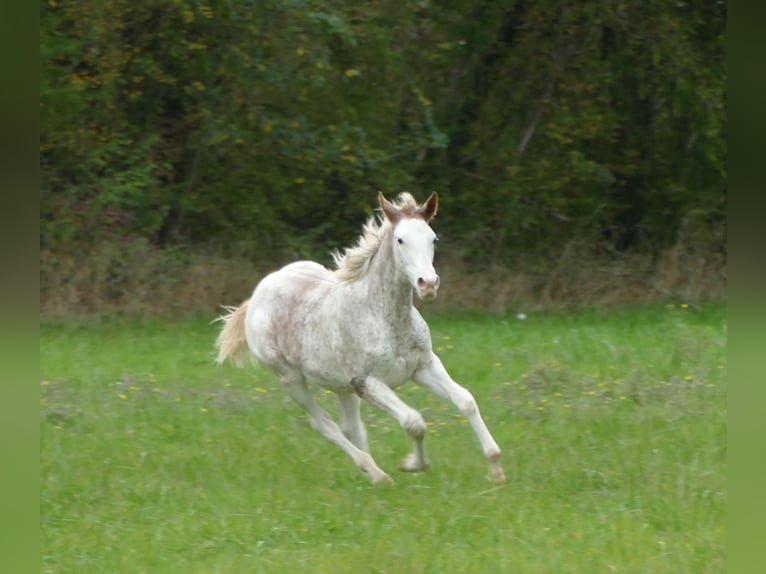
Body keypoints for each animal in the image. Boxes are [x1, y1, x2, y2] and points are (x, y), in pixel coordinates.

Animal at [215, 192, 506, 485]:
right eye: (400, 240)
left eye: (432, 238)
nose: (428, 284)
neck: (386, 318)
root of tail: (259, 292)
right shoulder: (368, 382)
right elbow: (413, 421)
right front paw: (413, 464)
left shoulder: (423, 366)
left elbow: (466, 400)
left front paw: (495, 469)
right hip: (290, 377)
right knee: (325, 425)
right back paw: (377, 474)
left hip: (341, 385)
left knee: (351, 427)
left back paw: (374, 474)